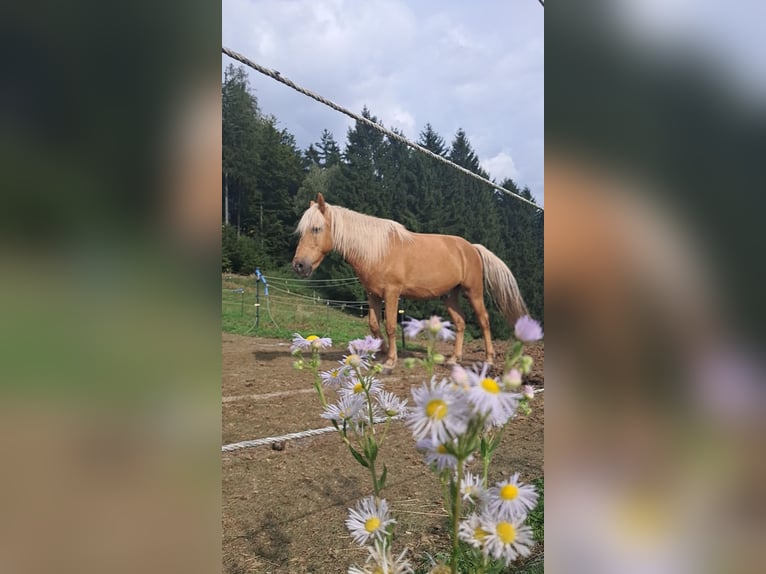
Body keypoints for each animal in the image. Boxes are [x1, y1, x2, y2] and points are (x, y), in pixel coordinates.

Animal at [292, 193, 528, 371]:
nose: (299, 266)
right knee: (461, 323)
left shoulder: (392, 293)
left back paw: (489, 358)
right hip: (449, 295)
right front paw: (379, 352)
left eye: (316, 228)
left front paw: (390, 361)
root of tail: (472, 247)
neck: (377, 250)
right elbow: (374, 325)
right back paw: (454, 359)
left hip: (473, 292)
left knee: (484, 320)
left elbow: (390, 326)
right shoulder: (372, 294)